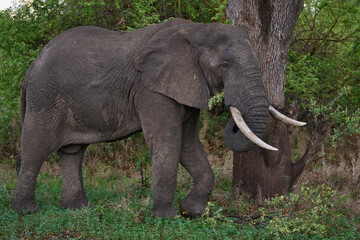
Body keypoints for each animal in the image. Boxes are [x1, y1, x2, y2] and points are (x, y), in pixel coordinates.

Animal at [12, 18, 306, 218]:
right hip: (44, 98)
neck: (196, 31)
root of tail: (30, 70)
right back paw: (27, 211)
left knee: (73, 152)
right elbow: (168, 142)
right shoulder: (151, 88)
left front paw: (192, 210)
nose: (228, 107)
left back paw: (77, 208)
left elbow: (188, 144)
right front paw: (166, 217)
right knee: (35, 151)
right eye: (224, 66)